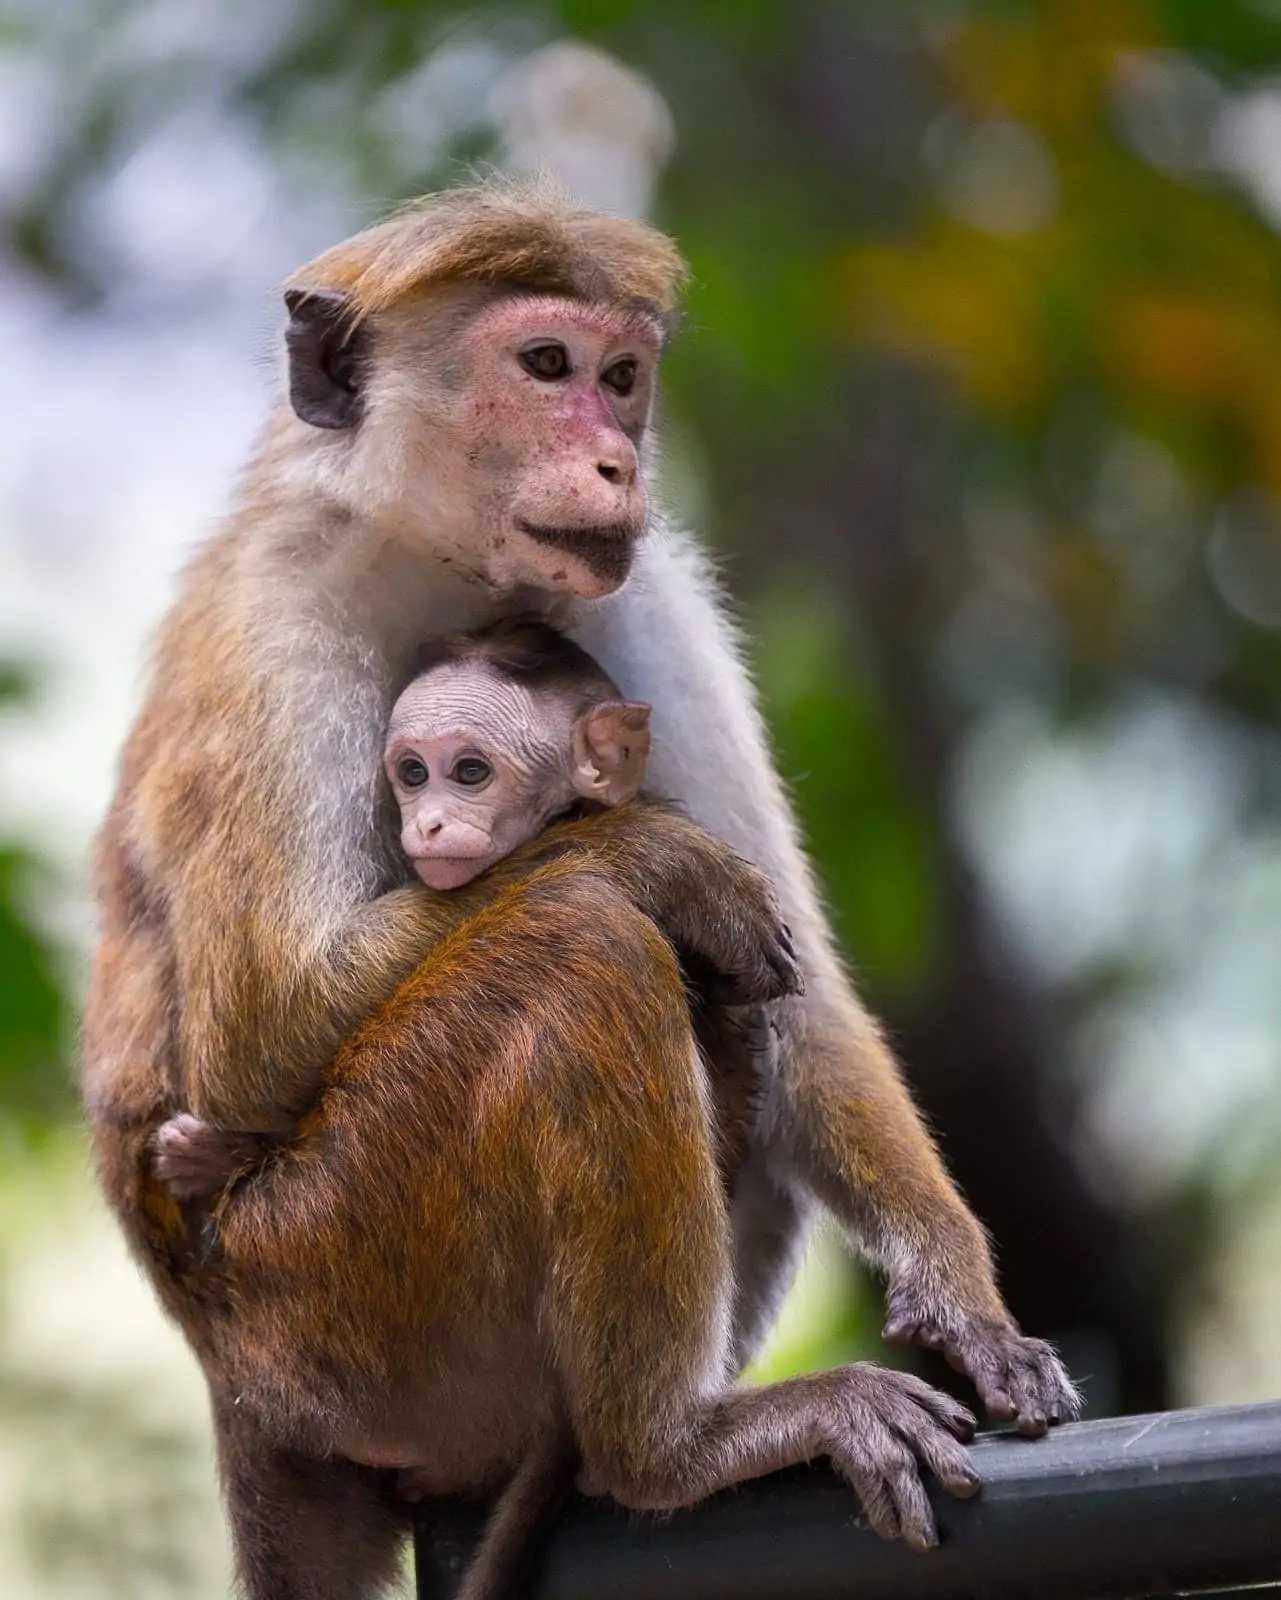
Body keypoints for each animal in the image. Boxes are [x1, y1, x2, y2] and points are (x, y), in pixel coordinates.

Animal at [82, 180, 1079, 1600]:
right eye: (545, 366)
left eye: (621, 380)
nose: (617, 461)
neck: (434, 554)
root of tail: (241, 1393)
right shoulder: (273, 629)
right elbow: (260, 1028)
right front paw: (658, 858)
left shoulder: (647, 589)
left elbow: (807, 993)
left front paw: (967, 1297)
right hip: (333, 1295)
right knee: (582, 947)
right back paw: (667, 1450)